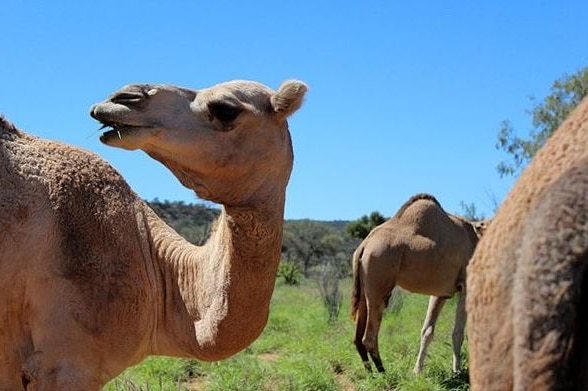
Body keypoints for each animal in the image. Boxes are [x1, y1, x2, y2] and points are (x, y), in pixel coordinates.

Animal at [352, 194, 484, 376]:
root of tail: (364, 246)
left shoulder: (441, 293)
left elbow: (427, 330)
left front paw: (417, 371)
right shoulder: (465, 286)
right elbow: (458, 333)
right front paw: (458, 370)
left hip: (365, 290)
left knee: (357, 338)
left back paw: (370, 373)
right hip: (378, 284)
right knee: (369, 337)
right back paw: (383, 372)